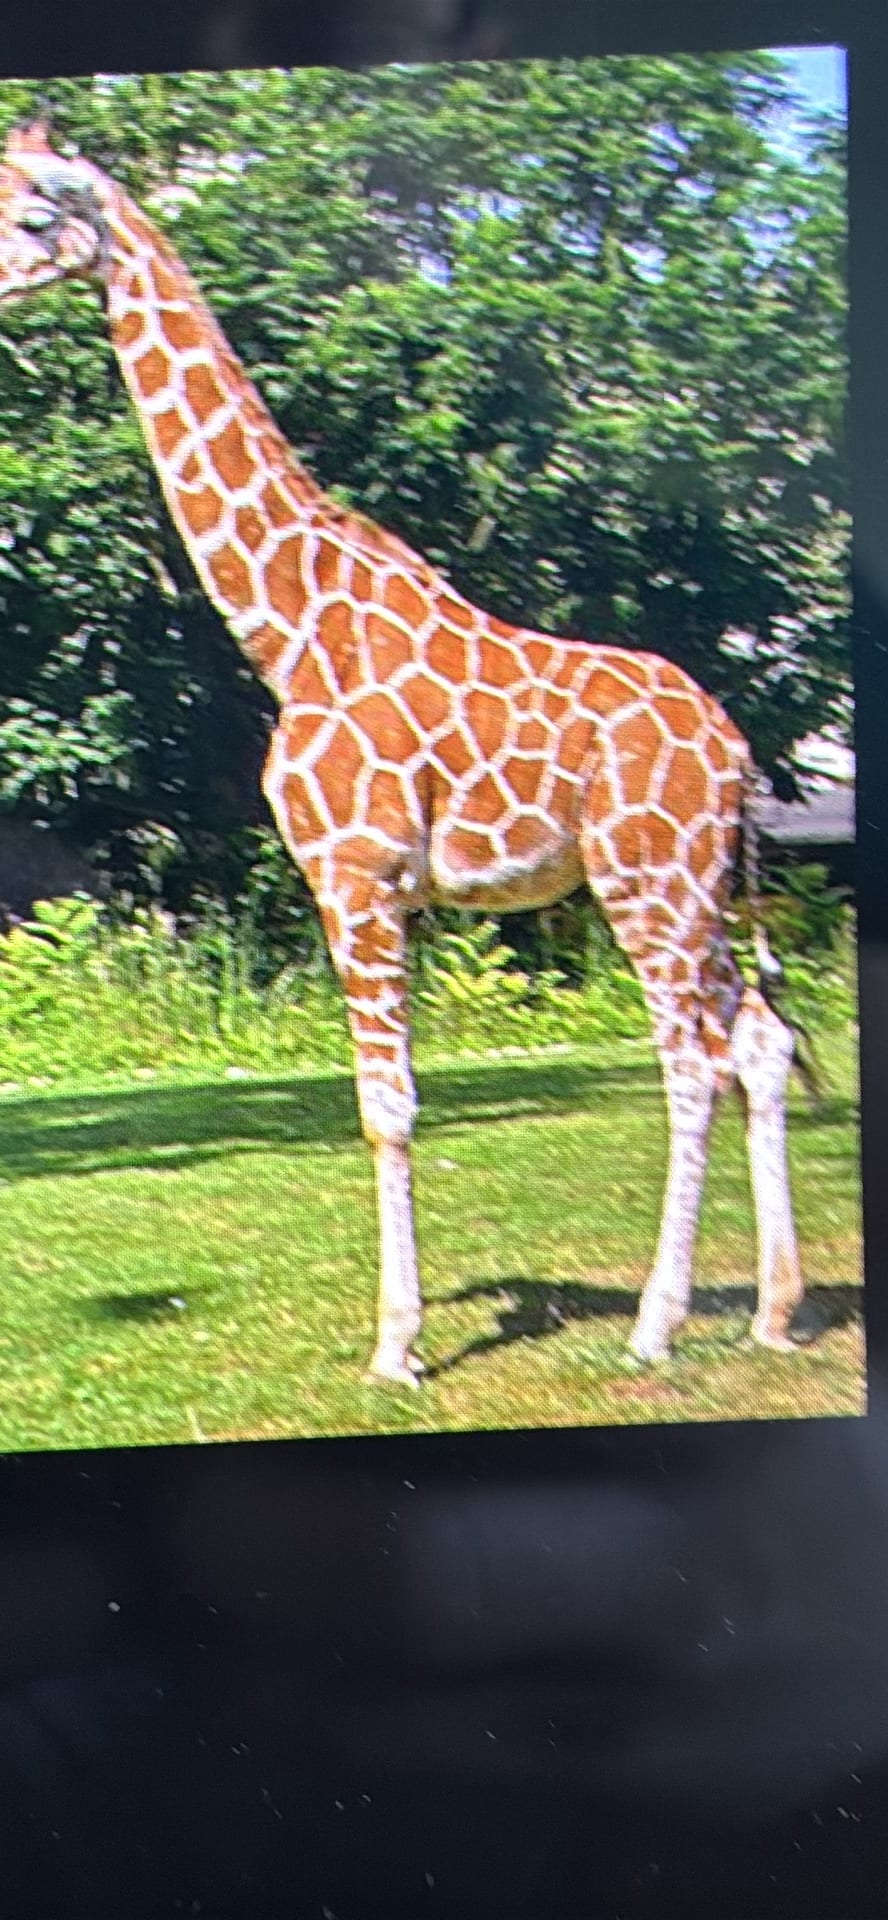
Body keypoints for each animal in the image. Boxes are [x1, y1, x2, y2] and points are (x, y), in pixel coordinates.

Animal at [0, 122, 806, 1384]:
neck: (286, 627)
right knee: (762, 1041)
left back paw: (655, 1327)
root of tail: (734, 749)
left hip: (647, 880)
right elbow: (386, 1099)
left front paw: (397, 1348)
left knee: (691, 1061)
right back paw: (774, 1310)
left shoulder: (356, 874)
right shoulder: (379, 886)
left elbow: (387, 1104)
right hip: (701, 885)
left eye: (35, 215)